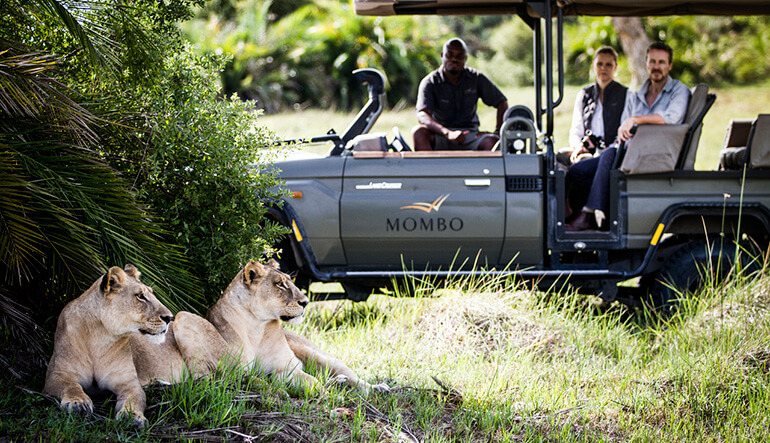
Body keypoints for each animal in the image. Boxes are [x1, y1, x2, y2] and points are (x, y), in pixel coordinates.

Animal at [44, 265, 173, 426]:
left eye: (152, 294)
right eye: (140, 296)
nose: (170, 317)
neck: (99, 337)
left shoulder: (129, 383)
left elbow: (135, 399)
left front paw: (132, 416)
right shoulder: (57, 375)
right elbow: (71, 386)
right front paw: (78, 403)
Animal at [205, 260, 390, 393]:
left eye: (290, 281)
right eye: (279, 284)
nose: (306, 302)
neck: (257, 327)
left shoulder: (289, 367)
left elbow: (312, 381)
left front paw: (329, 398)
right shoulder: (236, 371)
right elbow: (261, 380)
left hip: (316, 354)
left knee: (352, 376)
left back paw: (376, 388)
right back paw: (339, 383)